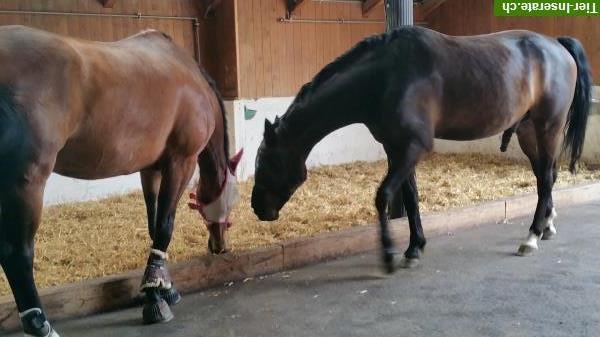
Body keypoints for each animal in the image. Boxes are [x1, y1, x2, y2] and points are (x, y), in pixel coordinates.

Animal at [0, 25, 241, 334]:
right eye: (231, 200)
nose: (220, 245)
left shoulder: (151, 169)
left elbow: (153, 226)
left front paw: (164, 288)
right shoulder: (181, 163)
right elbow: (165, 226)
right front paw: (155, 297)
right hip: (26, 183)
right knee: (17, 254)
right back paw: (40, 323)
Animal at [250, 26, 592, 272]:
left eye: (267, 162)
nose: (258, 209)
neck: (385, 77)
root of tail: (557, 45)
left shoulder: (413, 148)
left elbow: (384, 196)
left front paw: (389, 254)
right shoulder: (397, 149)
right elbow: (410, 198)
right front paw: (414, 248)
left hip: (548, 127)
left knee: (546, 179)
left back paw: (531, 237)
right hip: (528, 131)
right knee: (546, 177)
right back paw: (546, 226)